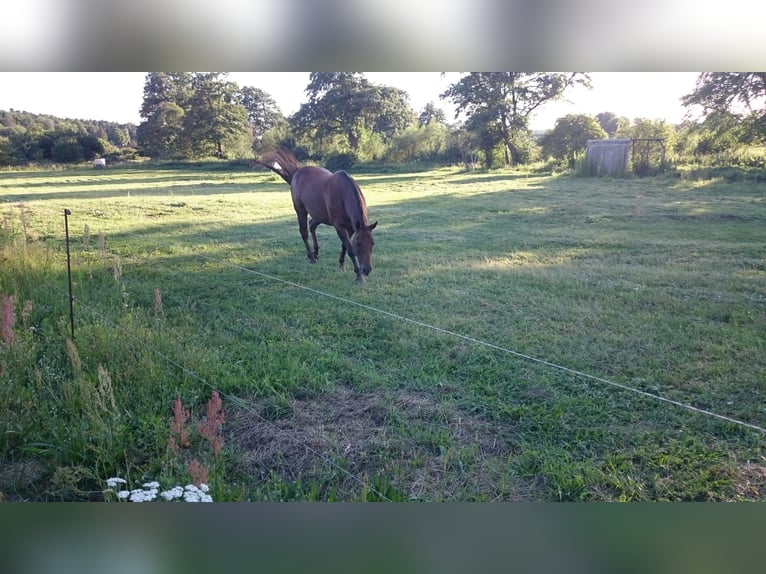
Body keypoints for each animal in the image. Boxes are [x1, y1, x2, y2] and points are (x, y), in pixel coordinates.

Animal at [256, 148, 380, 284]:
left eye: (372, 243)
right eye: (358, 244)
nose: (366, 270)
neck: (342, 194)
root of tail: (296, 173)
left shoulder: (351, 227)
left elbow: (345, 246)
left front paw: (341, 265)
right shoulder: (339, 227)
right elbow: (350, 249)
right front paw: (359, 276)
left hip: (318, 216)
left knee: (312, 226)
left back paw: (315, 253)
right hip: (300, 211)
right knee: (304, 232)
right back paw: (312, 257)